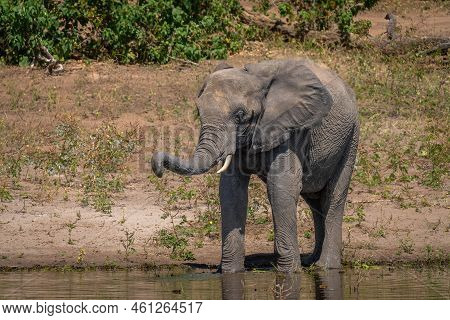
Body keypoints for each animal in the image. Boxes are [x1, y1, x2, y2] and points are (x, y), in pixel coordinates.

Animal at [153, 59, 360, 272]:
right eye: (198, 112)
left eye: (240, 115)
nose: (157, 166)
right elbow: (231, 191)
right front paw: (230, 272)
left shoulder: (289, 129)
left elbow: (280, 188)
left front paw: (289, 272)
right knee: (314, 200)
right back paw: (311, 262)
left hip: (351, 137)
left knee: (333, 197)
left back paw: (326, 267)